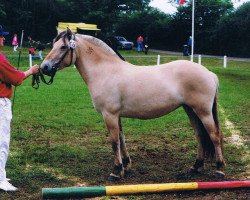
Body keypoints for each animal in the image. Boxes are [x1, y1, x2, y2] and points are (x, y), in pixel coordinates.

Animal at [40, 28, 225, 182]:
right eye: (53, 45)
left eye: (63, 47)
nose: (44, 67)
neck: (106, 71)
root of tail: (210, 74)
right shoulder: (116, 115)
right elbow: (122, 139)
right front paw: (126, 166)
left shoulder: (109, 115)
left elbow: (114, 141)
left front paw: (116, 172)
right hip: (190, 110)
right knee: (200, 135)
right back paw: (196, 167)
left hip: (203, 111)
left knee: (214, 136)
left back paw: (220, 169)